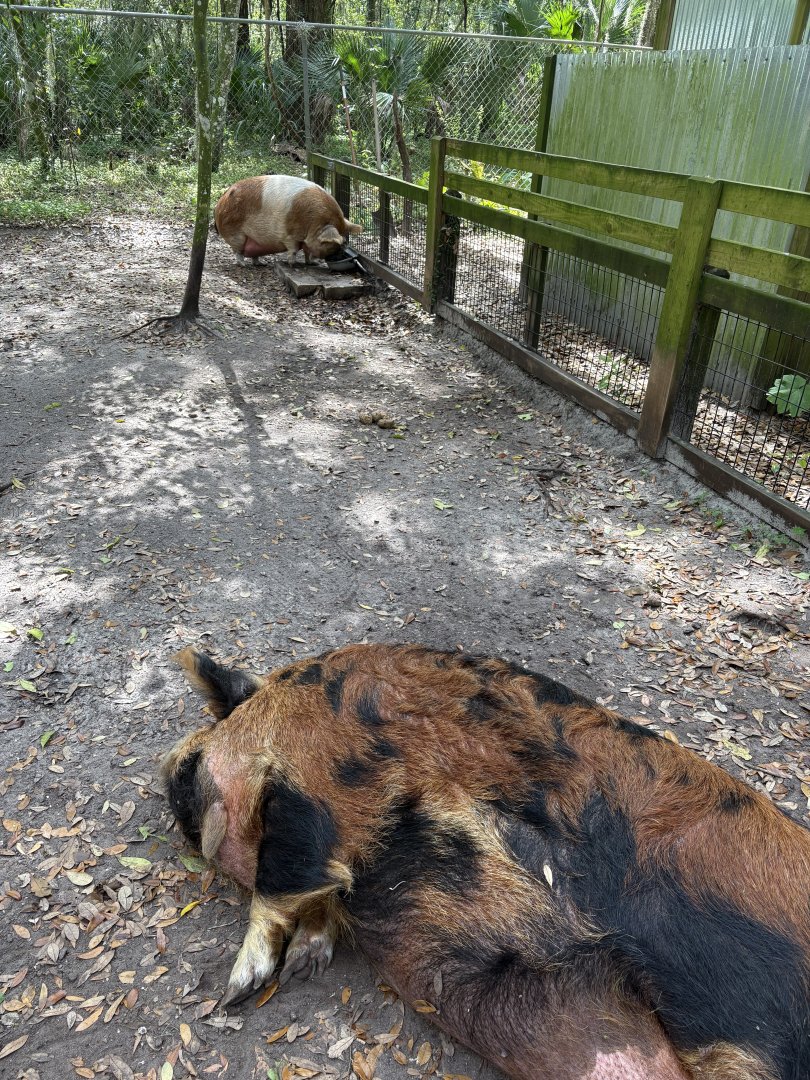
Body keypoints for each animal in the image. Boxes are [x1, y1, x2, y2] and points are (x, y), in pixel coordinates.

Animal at [162, 643, 810, 1080]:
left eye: (194, 760)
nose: (168, 771)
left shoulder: (328, 774)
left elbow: (286, 869)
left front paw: (237, 991)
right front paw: (303, 966)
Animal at [213, 175, 362, 266]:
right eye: (333, 244)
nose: (338, 256)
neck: (314, 223)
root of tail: (221, 202)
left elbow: (308, 252)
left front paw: (312, 263)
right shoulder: (290, 235)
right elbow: (294, 249)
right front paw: (292, 264)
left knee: (253, 255)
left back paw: (262, 264)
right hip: (235, 233)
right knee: (238, 252)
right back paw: (243, 265)